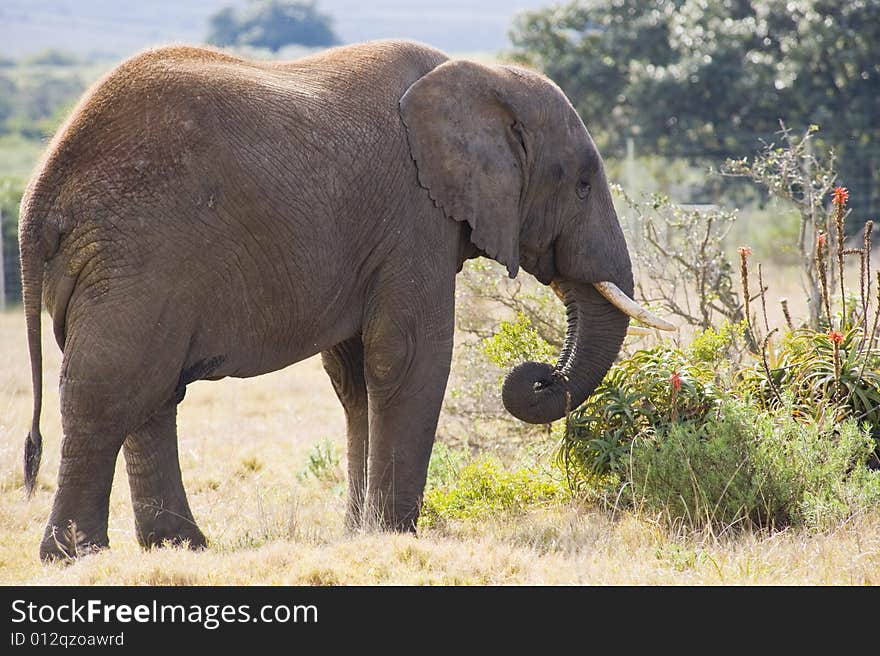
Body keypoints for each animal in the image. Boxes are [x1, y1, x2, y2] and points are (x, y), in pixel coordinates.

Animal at [18, 38, 668, 560]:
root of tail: (39, 193)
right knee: (108, 392)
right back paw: (74, 556)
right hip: (136, 258)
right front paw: (396, 535)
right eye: (581, 184)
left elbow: (356, 375)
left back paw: (180, 548)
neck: (484, 77)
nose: (540, 376)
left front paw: (363, 534)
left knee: (151, 394)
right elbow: (408, 358)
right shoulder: (414, 216)